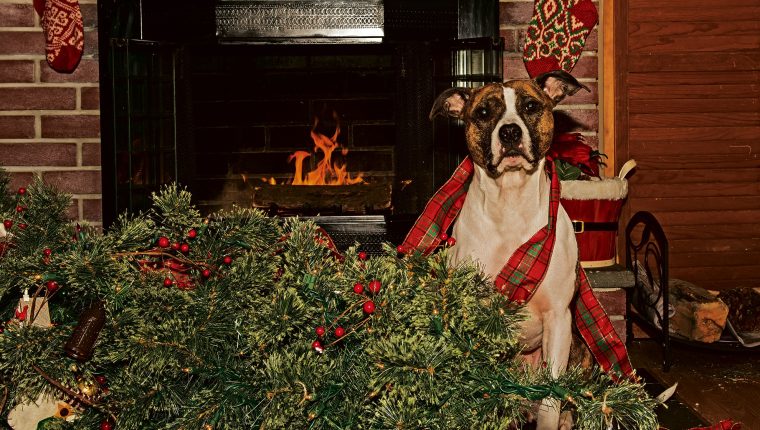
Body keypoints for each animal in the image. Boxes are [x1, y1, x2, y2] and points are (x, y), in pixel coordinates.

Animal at [430, 69, 592, 428]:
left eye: (530, 106)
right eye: (483, 113)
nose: (509, 131)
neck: (510, 203)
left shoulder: (558, 318)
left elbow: (551, 397)